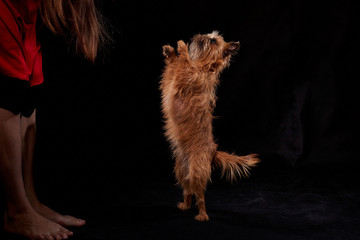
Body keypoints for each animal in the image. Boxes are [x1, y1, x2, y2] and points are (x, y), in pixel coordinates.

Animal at [160, 31, 258, 221]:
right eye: (208, 35)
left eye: (213, 40)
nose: (200, 35)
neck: (204, 66)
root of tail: (213, 152)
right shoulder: (171, 81)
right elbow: (173, 68)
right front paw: (170, 52)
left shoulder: (187, 78)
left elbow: (184, 64)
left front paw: (182, 48)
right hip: (181, 170)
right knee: (188, 190)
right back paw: (185, 205)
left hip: (197, 170)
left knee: (200, 195)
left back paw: (202, 215)